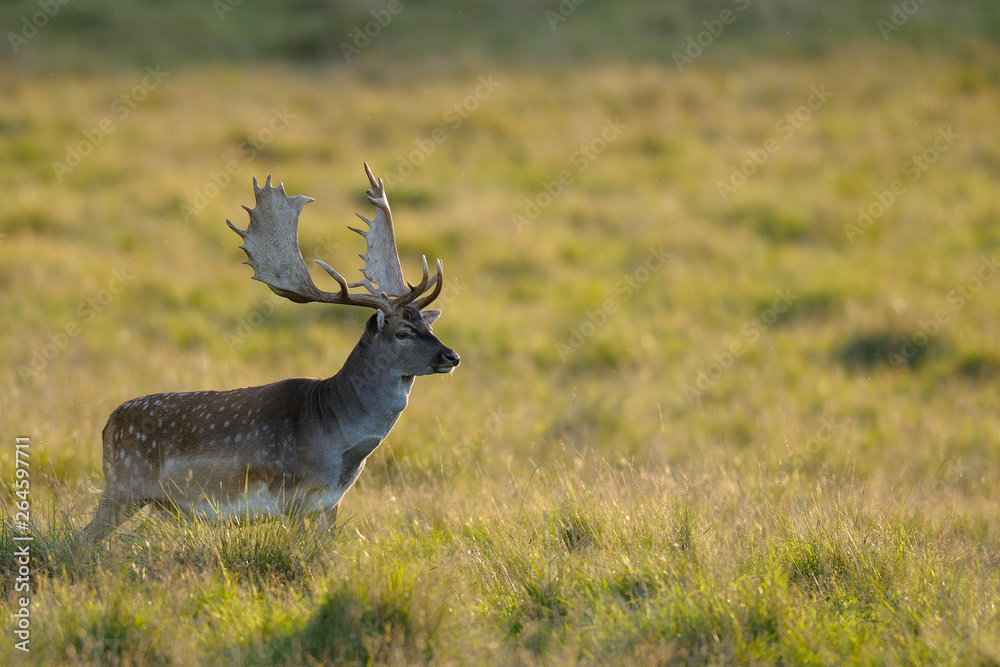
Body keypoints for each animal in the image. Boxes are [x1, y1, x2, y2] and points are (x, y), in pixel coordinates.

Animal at [82, 164, 459, 542]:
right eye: (403, 333)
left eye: (428, 327)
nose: (451, 357)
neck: (339, 441)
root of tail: (108, 425)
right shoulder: (291, 494)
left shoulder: (331, 502)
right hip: (125, 484)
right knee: (83, 538)